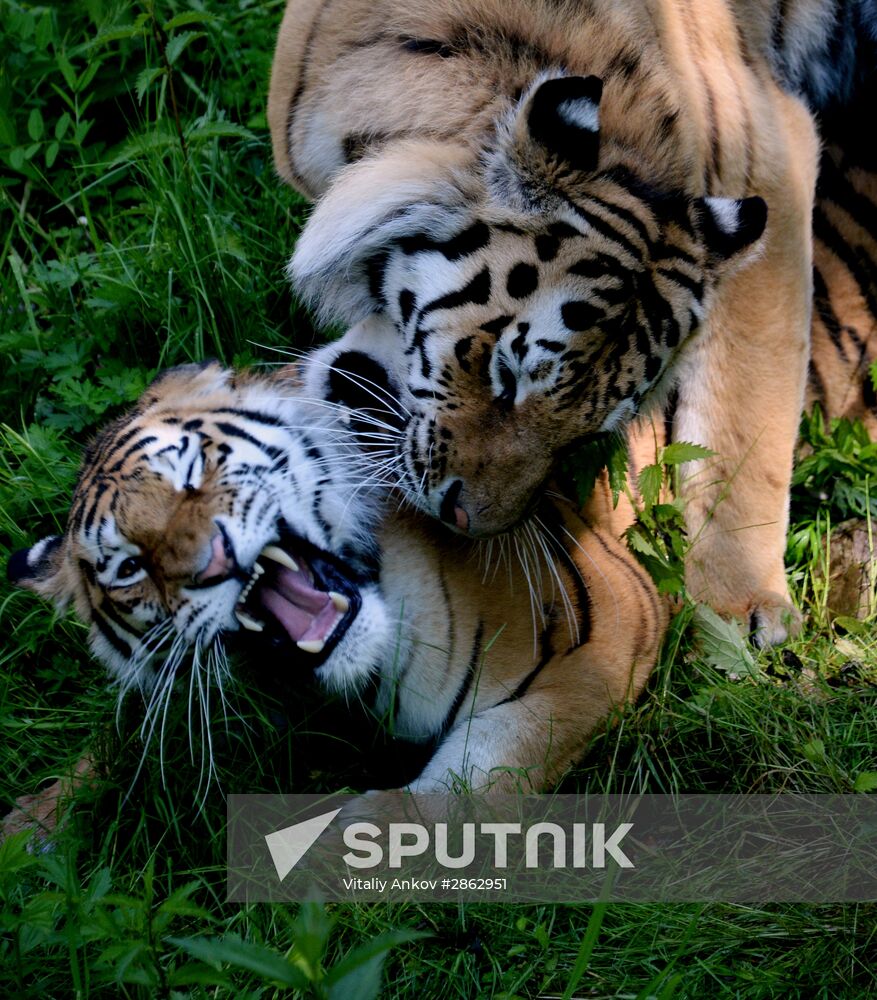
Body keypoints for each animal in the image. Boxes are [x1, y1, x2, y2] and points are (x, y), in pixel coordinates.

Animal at [5, 354, 664, 820]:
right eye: (126, 567)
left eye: (189, 470)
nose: (212, 564)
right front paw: (34, 823)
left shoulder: (608, 627)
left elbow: (487, 762)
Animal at [266, 0, 876, 644]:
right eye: (506, 375)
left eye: (584, 436)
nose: (464, 521)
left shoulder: (764, 149)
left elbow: (746, 416)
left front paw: (742, 608)